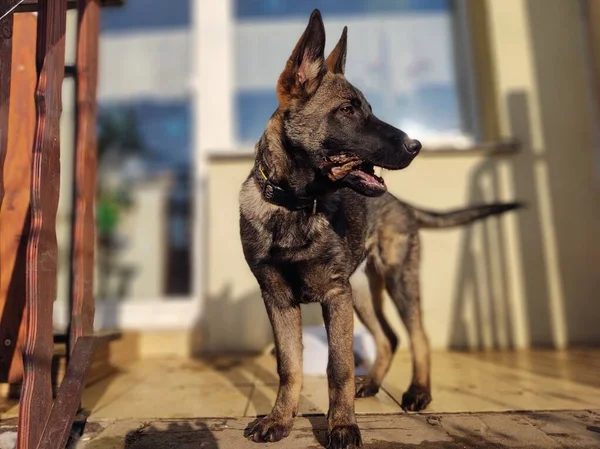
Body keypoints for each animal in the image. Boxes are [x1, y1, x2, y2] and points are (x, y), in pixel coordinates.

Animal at [239, 8, 520, 446]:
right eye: (348, 110)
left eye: (367, 108)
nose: (417, 146)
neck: (295, 204)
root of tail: (402, 203)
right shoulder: (279, 298)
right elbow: (289, 365)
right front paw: (280, 419)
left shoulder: (334, 295)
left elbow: (337, 367)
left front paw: (341, 425)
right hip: (361, 293)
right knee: (388, 337)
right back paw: (371, 383)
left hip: (396, 277)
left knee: (418, 335)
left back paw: (418, 391)